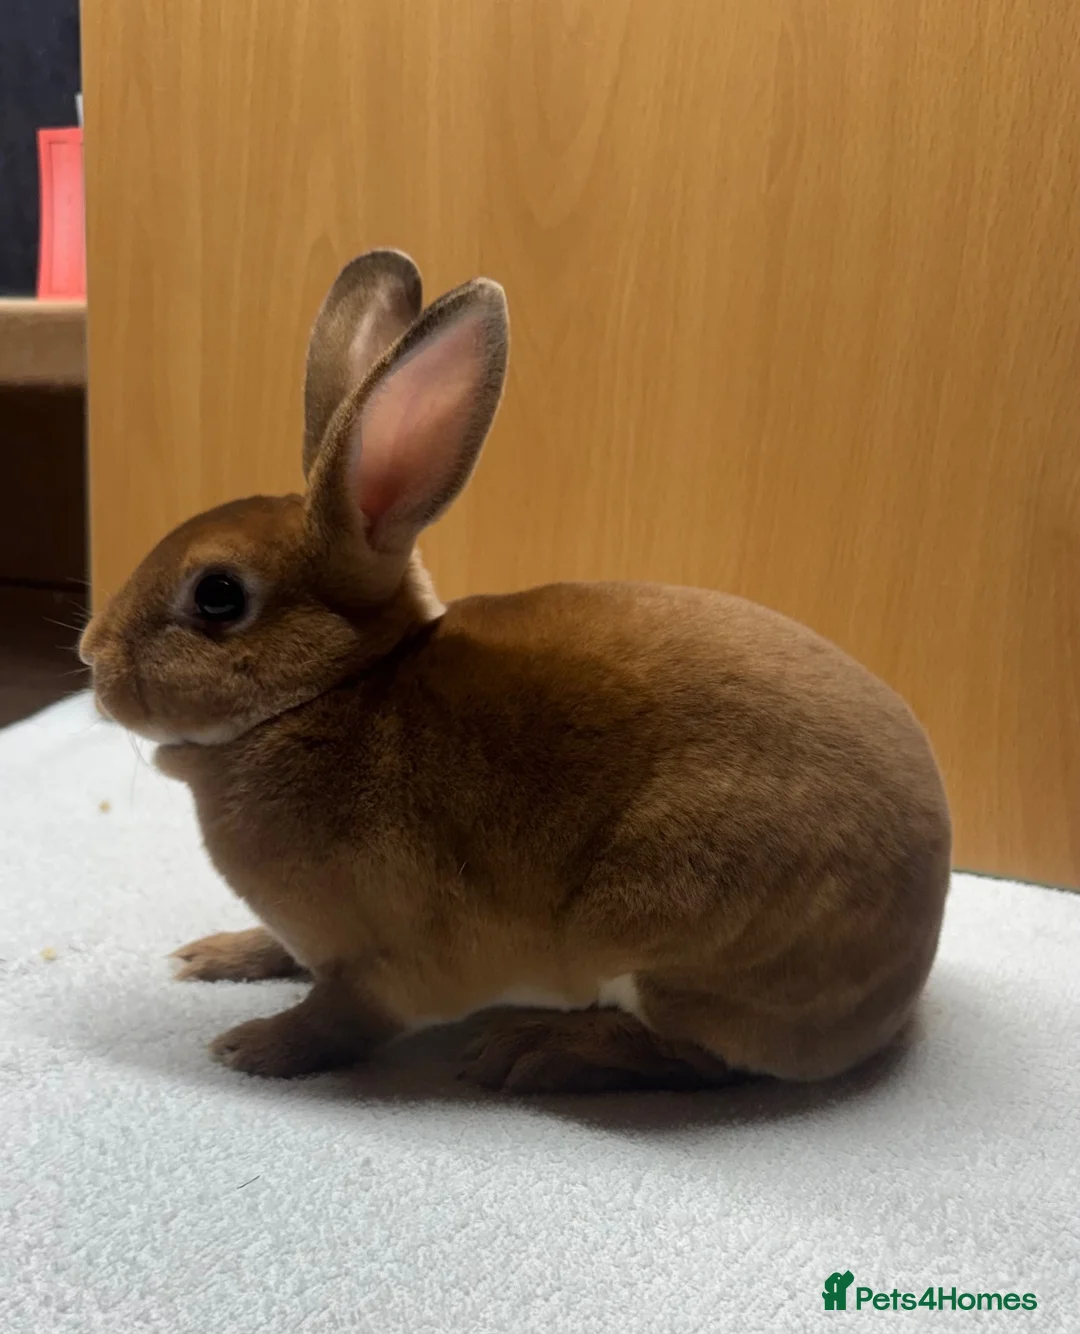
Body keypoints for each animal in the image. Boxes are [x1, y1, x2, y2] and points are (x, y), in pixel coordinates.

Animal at [79, 249, 951, 1094]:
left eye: (218, 595)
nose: (92, 656)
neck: (333, 693)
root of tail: (905, 976)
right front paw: (216, 955)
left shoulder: (392, 962)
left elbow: (340, 1018)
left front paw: (255, 1046)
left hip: (665, 932)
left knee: (696, 1059)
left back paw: (533, 1053)